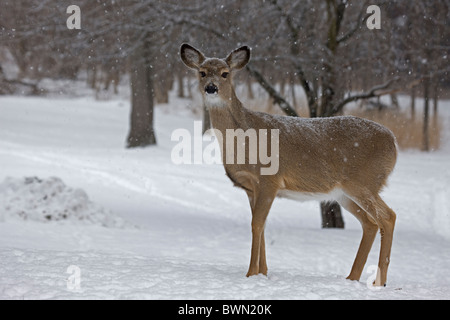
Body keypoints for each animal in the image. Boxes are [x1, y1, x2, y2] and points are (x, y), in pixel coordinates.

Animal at [179, 43, 398, 286]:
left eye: (225, 73)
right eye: (202, 72)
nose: (211, 88)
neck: (244, 141)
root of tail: (394, 143)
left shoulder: (269, 180)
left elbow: (256, 224)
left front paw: (251, 274)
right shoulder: (250, 188)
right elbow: (261, 225)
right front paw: (263, 273)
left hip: (363, 182)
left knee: (388, 217)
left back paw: (379, 282)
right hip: (344, 193)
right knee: (370, 223)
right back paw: (351, 278)